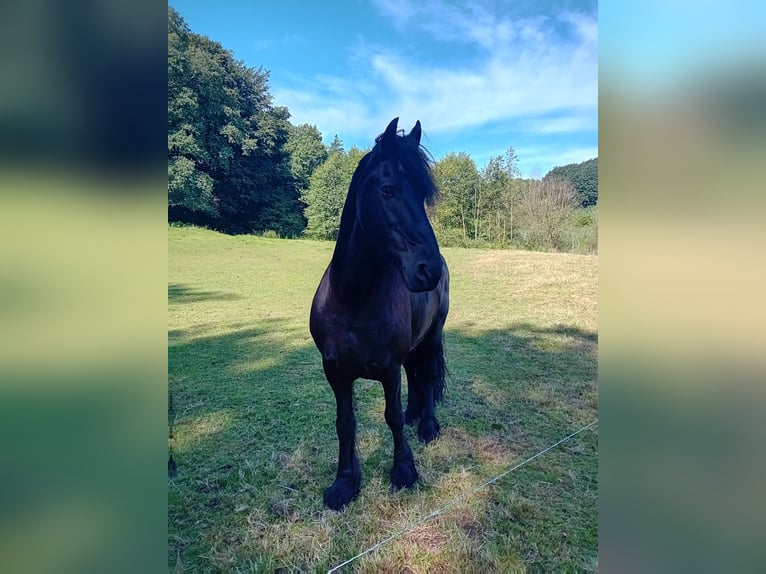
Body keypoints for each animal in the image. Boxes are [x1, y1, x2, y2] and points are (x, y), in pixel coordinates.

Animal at [308, 118, 450, 512]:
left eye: (422, 196)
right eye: (388, 190)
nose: (428, 270)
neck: (353, 300)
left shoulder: (387, 370)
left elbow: (392, 417)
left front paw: (404, 470)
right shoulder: (335, 372)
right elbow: (345, 423)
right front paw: (344, 483)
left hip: (433, 336)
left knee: (428, 373)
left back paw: (427, 426)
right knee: (416, 374)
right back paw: (418, 413)